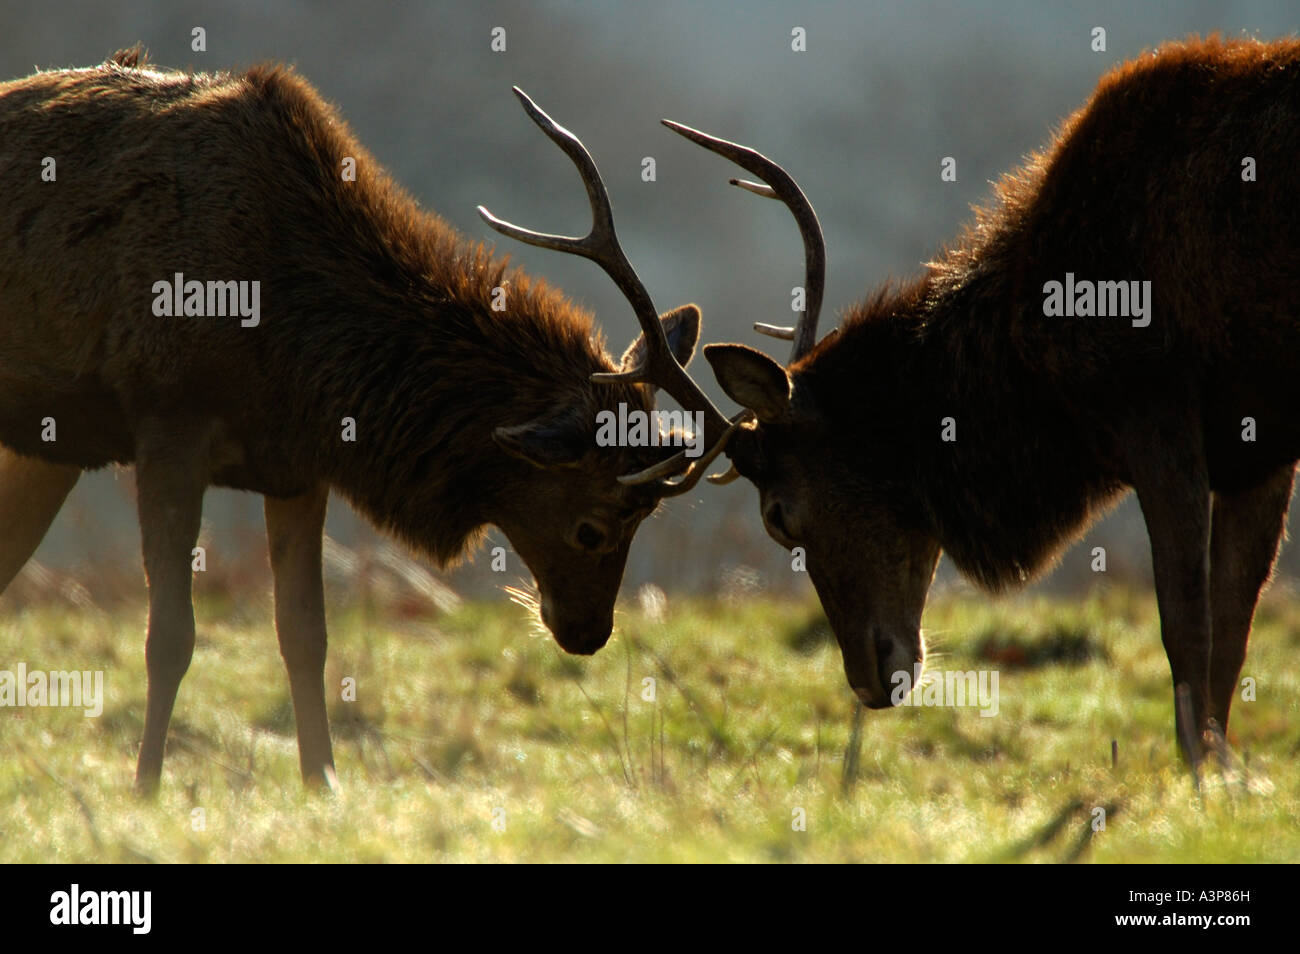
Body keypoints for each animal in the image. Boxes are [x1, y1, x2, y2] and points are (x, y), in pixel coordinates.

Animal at [0, 50, 738, 790]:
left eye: (649, 517)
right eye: (592, 527)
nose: (587, 634)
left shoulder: (296, 466)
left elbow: (305, 636)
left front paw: (322, 783)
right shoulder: (168, 418)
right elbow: (171, 637)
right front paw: (146, 789)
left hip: (49, 450)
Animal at [676, 37, 1300, 764]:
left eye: (778, 516)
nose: (868, 682)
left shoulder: (1154, 403)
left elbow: (1186, 624)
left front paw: (1199, 769)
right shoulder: (1258, 447)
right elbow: (1234, 628)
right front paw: (1225, 770)